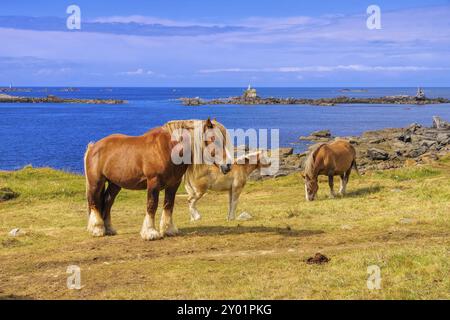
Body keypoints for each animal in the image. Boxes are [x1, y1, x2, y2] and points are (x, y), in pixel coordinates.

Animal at [83, 118, 232, 240]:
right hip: (96, 182)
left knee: (108, 202)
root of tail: (94, 147)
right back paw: (97, 229)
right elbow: (152, 205)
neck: (168, 149)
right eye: (213, 139)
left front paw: (168, 229)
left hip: (115, 184)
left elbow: (168, 204)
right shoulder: (153, 182)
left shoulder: (173, 184)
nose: (228, 165)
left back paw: (109, 229)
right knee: (94, 202)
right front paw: (150, 232)